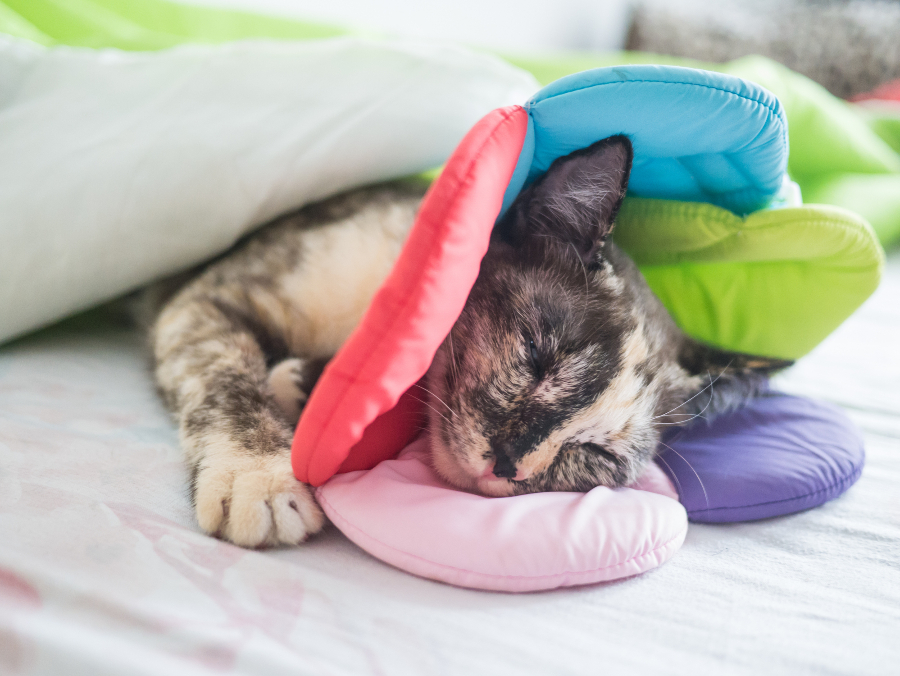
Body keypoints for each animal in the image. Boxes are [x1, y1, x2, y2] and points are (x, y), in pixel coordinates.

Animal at [149, 135, 788, 548]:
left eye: (594, 456)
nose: (508, 464)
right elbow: (226, 377)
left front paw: (309, 386)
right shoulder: (205, 299)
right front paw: (258, 476)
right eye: (538, 356)